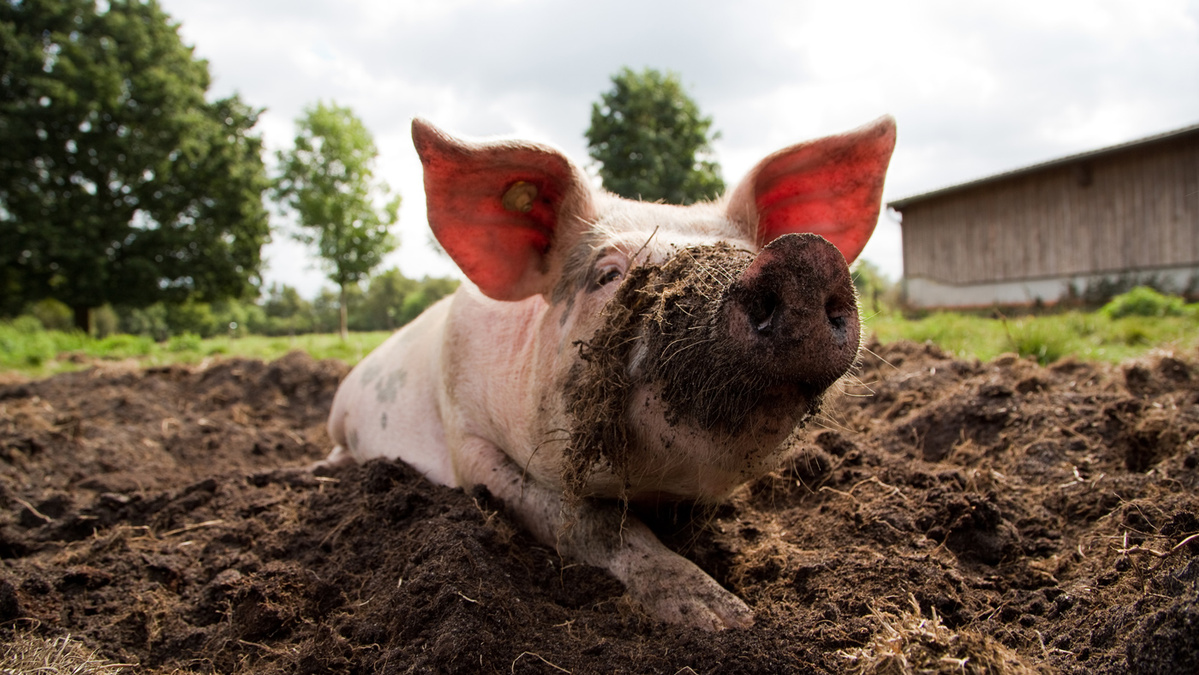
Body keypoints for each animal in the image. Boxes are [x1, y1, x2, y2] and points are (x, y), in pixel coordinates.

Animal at [323, 116, 896, 630]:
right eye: (607, 274)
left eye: (746, 255)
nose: (805, 255)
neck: (651, 490)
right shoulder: (468, 441)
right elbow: (593, 526)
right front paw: (724, 619)